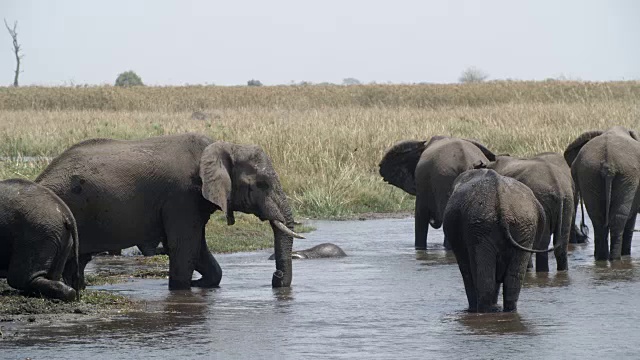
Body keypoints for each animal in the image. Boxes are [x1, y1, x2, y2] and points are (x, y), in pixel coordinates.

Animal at [35, 134, 304, 292]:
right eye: (262, 185)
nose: (276, 277)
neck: (222, 146)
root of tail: (41, 178)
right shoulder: (182, 196)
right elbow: (185, 246)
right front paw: (183, 288)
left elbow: (199, 249)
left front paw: (199, 284)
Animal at [442, 169, 556, 312]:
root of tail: (502, 203)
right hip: (522, 224)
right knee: (513, 276)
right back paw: (506, 309)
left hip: (482, 225)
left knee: (484, 275)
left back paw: (487, 310)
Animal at [564, 126, 640, 262]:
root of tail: (608, 164)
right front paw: (626, 254)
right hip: (628, 177)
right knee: (618, 218)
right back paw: (616, 259)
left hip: (589, 175)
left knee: (597, 218)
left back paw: (601, 259)